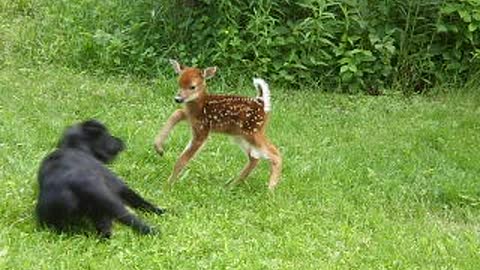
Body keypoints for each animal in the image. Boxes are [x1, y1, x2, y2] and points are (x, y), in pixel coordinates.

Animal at [34, 119, 164, 237]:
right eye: (107, 135)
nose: (121, 141)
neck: (74, 147)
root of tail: (77, 183)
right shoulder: (120, 186)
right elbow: (141, 202)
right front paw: (158, 210)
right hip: (109, 204)